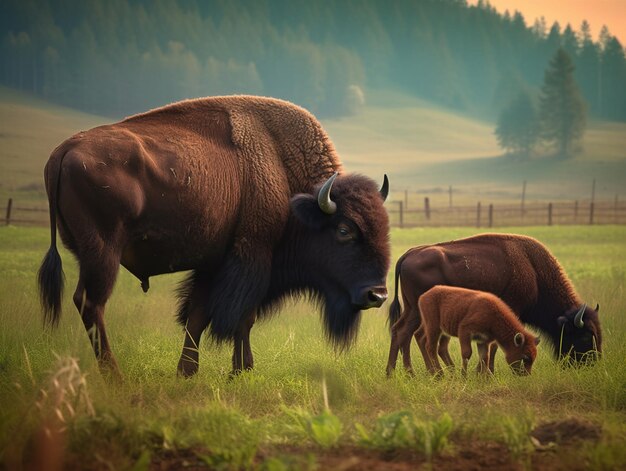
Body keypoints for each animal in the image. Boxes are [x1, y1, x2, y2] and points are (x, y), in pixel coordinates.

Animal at [35, 96, 390, 380]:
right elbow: (242, 317)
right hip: (103, 252)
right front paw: (241, 370)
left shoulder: (213, 264)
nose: (378, 295)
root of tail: (63, 151)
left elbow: (198, 315)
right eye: (344, 230)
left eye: (385, 227)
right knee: (90, 303)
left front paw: (187, 371)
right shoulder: (253, 257)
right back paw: (115, 376)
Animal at [412, 286, 540, 378]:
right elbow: (467, 353)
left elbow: (484, 357)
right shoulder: (464, 331)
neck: (493, 316)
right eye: (525, 357)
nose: (526, 375)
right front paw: (464, 376)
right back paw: (439, 374)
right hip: (433, 327)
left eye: (534, 357)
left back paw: (437, 372)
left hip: (437, 329)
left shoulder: (483, 341)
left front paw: (484, 377)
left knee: (423, 339)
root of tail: (423, 296)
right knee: (430, 346)